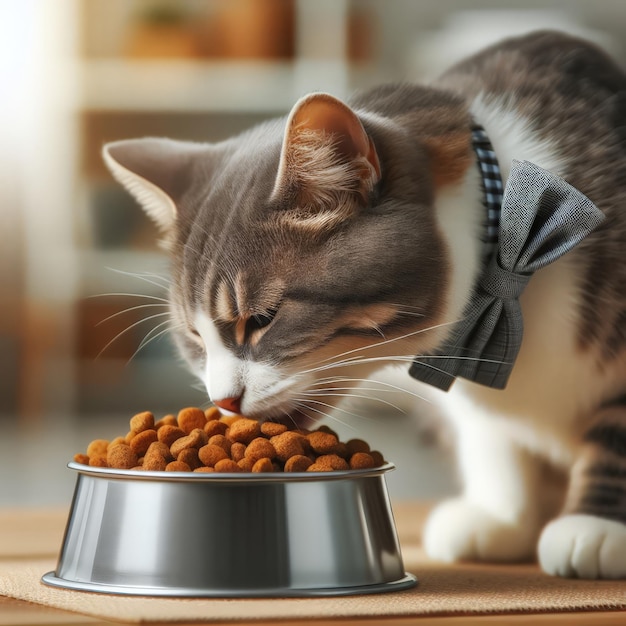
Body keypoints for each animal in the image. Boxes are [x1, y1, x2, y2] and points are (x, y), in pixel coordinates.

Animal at [102, 31, 624, 576]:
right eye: (195, 338)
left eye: (262, 319)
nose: (222, 401)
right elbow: (491, 437)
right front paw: (501, 515)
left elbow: (616, 432)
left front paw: (596, 525)